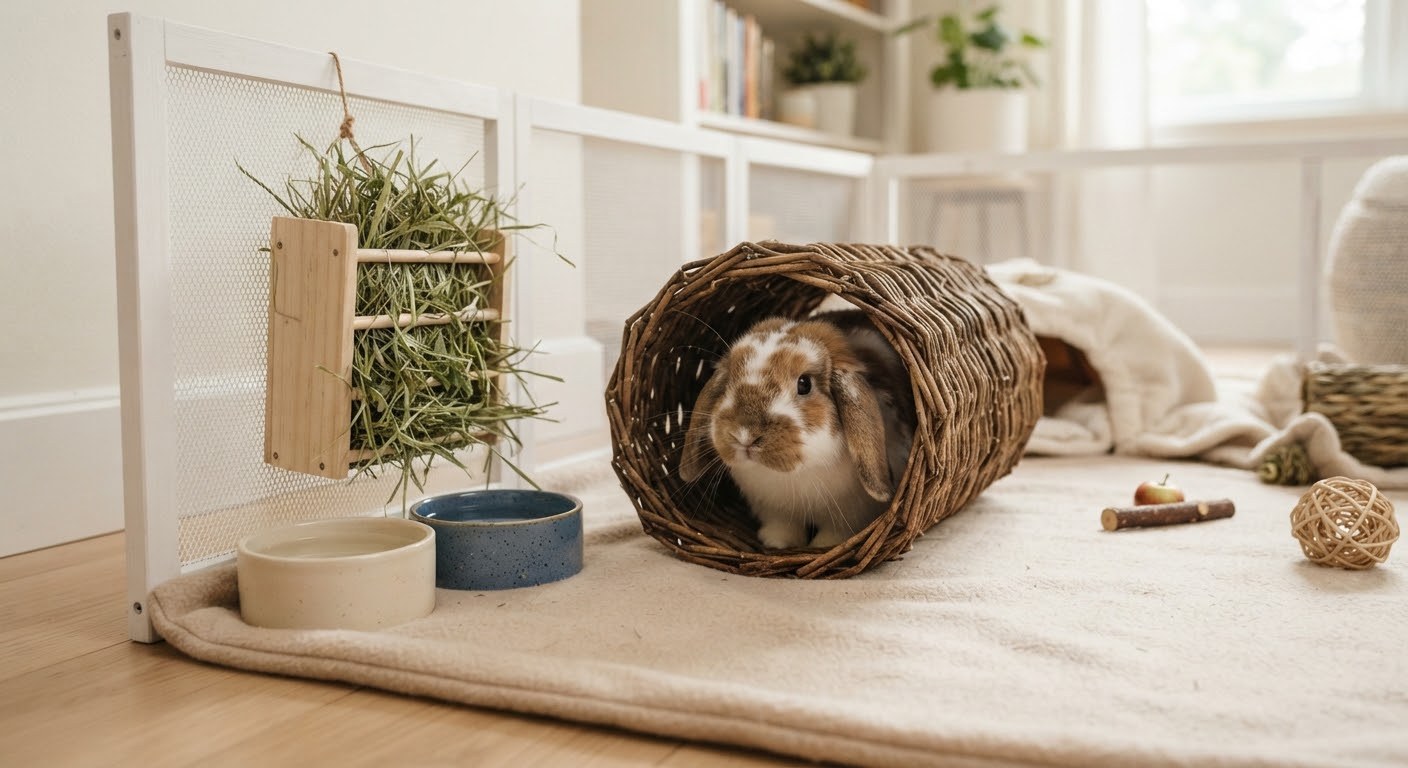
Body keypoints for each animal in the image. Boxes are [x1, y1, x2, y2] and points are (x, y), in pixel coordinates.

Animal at [678, 309, 915, 550]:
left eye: (804, 384)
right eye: (729, 382)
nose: (745, 436)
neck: (797, 474)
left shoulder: (849, 515)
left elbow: (836, 533)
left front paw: (822, 546)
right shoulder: (774, 510)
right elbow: (782, 526)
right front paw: (776, 543)